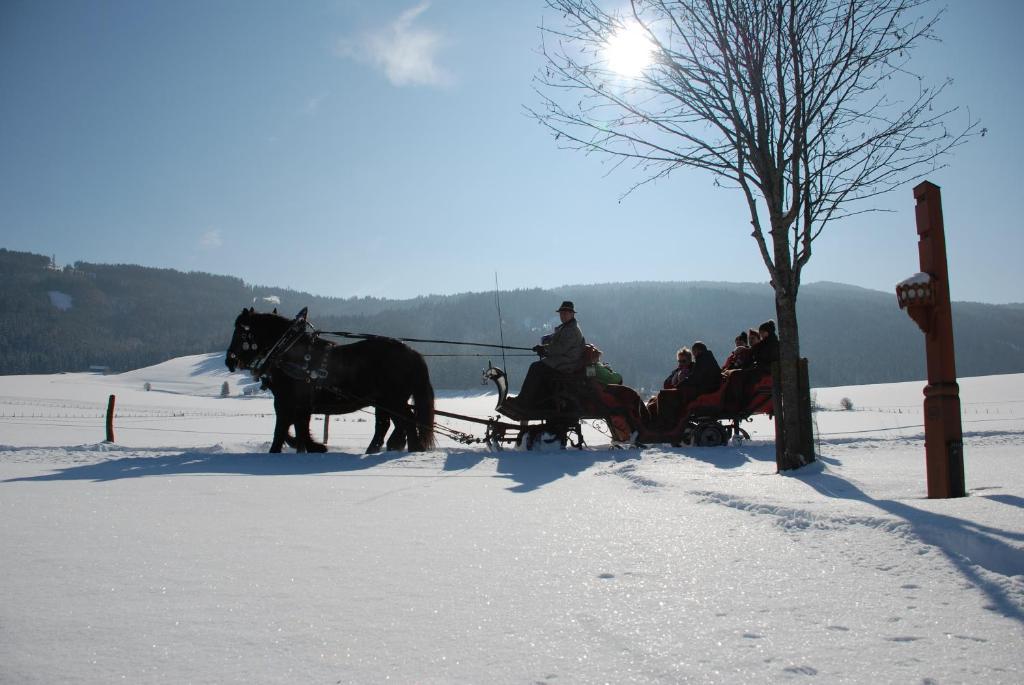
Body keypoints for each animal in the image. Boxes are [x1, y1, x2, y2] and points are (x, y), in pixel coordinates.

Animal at [226, 307, 434, 450]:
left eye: (240, 332)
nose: (229, 360)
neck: (286, 350)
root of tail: (413, 352)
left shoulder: (287, 403)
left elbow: (282, 431)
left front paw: (311, 447)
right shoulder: (297, 405)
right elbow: (295, 429)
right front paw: (312, 447)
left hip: (393, 401)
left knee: (406, 422)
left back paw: (410, 448)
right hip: (386, 401)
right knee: (391, 424)